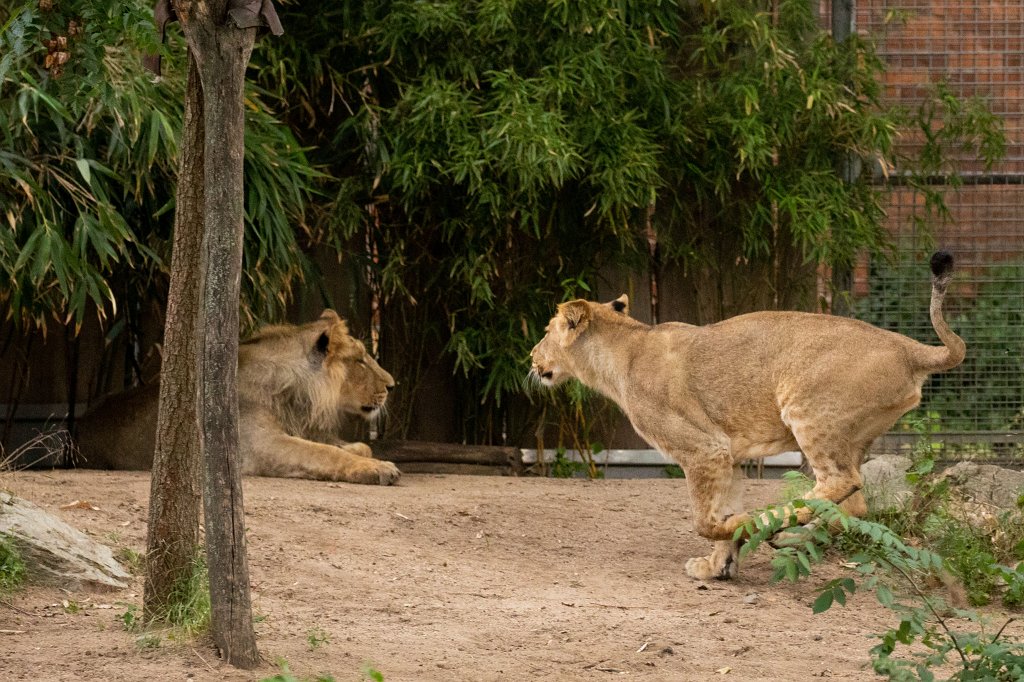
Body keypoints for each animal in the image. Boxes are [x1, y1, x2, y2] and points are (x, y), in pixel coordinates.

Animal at [76, 310, 401, 485]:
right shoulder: (261, 445)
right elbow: (325, 453)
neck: (293, 392)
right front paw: (380, 468)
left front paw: (365, 454)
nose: (392, 385)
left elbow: (353, 446)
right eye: (360, 360)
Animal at [530, 252, 964, 580]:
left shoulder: (703, 449)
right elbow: (721, 506)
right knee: (853, 506)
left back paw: (767, 524)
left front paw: (736, 529)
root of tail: (910, 349)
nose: (531, 357)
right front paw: (717, 565)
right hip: (850, 437)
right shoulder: (726, 453)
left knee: (839, 483)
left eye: (547, 331)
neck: (623, 349)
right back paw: (786, 536)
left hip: (805, 410)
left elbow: (706, 519)